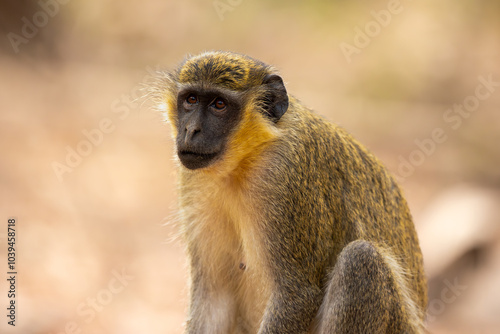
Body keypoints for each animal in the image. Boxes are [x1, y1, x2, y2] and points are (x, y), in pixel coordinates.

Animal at [150, 51, 428, 332]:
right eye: (191, 100)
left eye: (219, 105)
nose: (190, 130)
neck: (245, 160)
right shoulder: (193, 181)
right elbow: (215, 295)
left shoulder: (285, 176)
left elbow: (297, 294)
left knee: (361, 259)